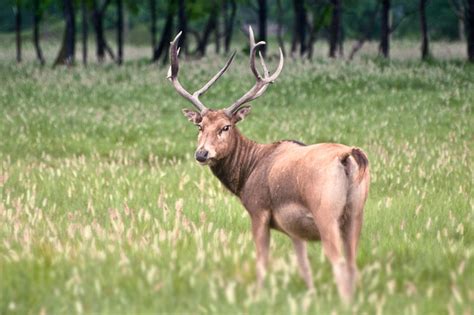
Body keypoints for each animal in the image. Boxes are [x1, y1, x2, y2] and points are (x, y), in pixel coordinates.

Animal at [167, 28, 370, 304]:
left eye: (226, 127)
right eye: (200, 126)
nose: (202, 153)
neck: (248, 172)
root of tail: (348, 155)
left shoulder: (258, 210)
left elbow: (262, 262)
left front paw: (259, 297)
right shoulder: (293, 228)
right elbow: (303, 265)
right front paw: (310, 296)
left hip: (325, 211)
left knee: (338, 262)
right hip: (356, 211)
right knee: (352, 263)